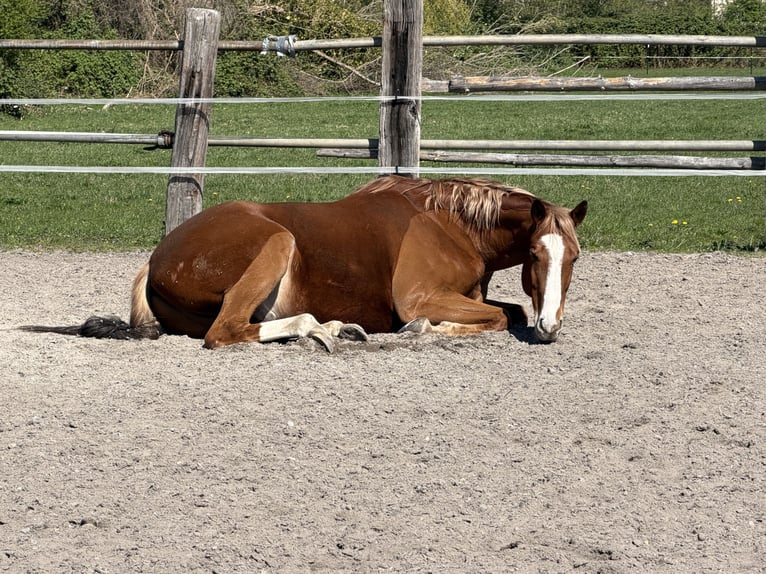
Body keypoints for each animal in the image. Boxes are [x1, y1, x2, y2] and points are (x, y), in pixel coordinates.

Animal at [22, 175, 587, 351]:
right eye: (535, 254)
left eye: (575, 256)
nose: (551, 328)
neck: (448, 224)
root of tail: (158, 257)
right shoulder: (419, 297)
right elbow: (499, 316)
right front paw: (428, 330)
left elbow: (508, 311)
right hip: (277, 242)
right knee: (228, 332)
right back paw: (320, 329)